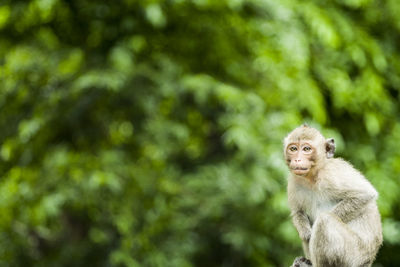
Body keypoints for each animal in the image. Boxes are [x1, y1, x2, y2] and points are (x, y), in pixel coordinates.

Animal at [282, 125, 382, 267]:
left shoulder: (332, 174)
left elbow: (364, 194)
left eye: (306, 149)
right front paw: (306, 232)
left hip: (353, 254)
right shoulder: (293, 181)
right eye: (293, 149)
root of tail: (368, 261)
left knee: (324, 220)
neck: (312, 177)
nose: (297, 159)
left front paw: (312, 232)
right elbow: (298, 212)